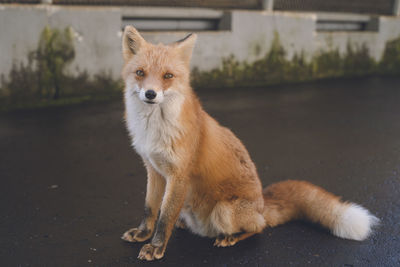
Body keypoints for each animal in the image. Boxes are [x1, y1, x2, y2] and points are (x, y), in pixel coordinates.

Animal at [119, 25, 378, 262]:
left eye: (168, 76)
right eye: (140, 72)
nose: (150, 94)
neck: (154, 129)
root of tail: (263, 204)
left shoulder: (178, 175)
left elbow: (165, 217)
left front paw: (156, 247)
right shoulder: (154, 170)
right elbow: (151, 208)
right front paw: (143, 234)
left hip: (224, 210)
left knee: (259, 227)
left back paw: (230, 237)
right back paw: (185, 224)